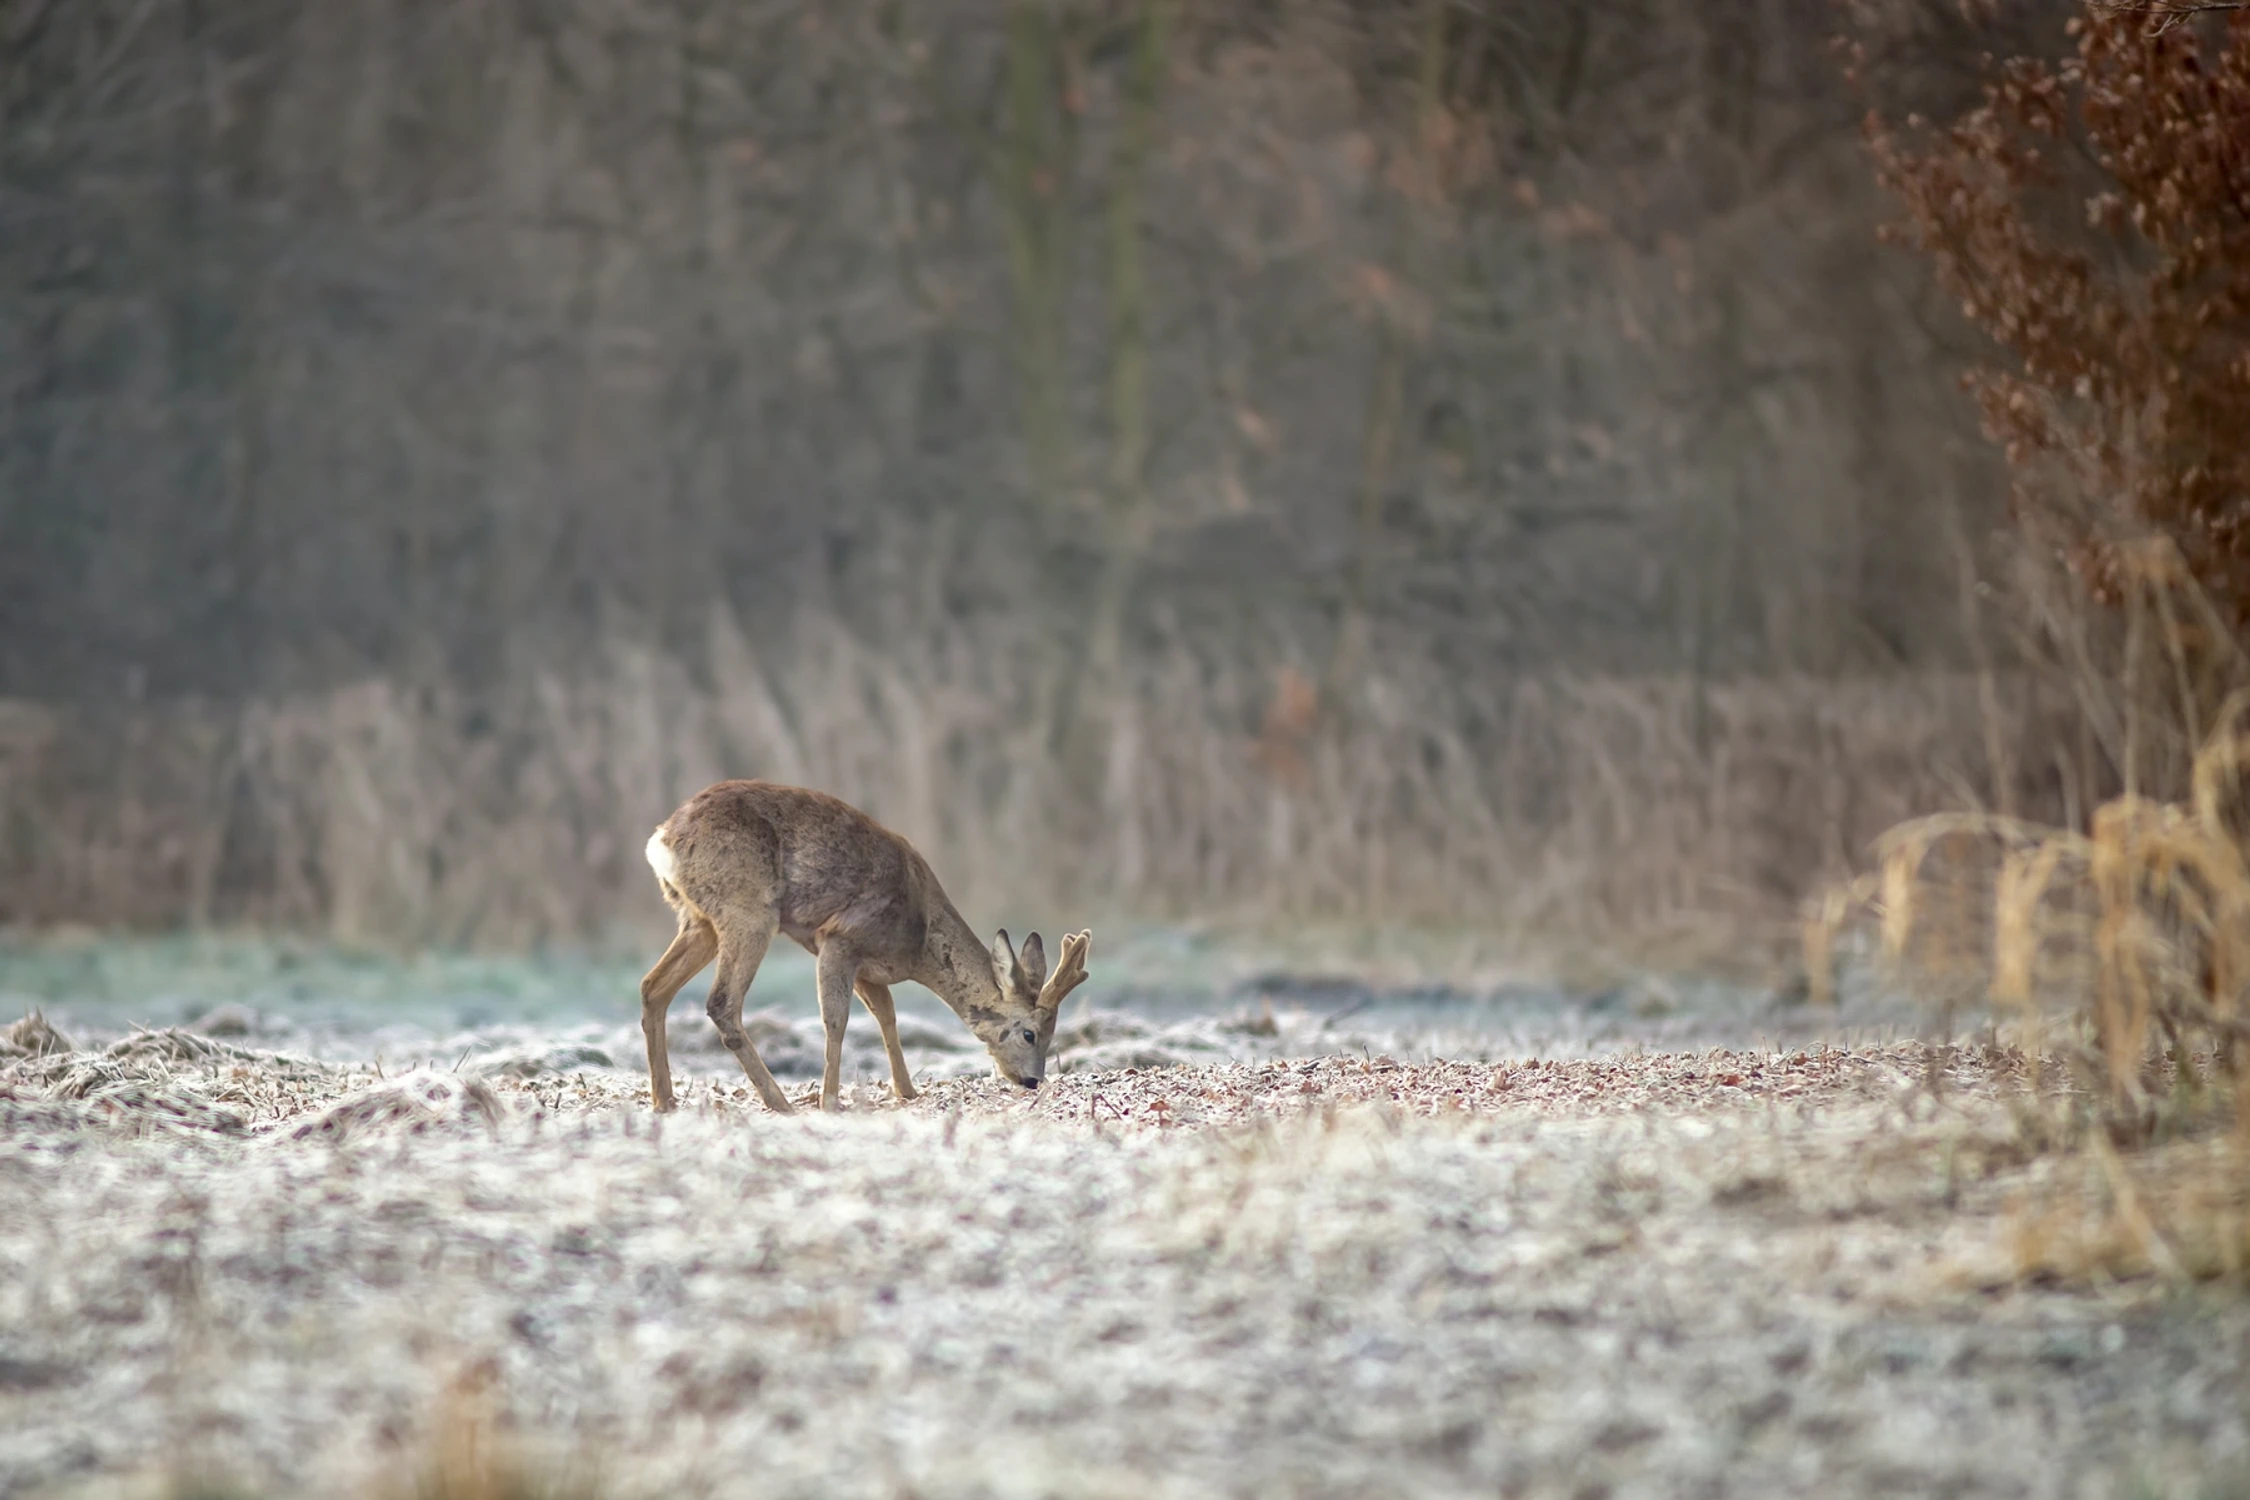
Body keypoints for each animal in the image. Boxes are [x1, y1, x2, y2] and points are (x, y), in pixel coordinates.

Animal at [639, 782, 1093, 1110]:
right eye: (1030, 1034)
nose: (1032, 1080)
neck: (919, 941)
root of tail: (661, 839)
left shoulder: (869, 968)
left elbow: (887, 1016)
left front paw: (906, 1091)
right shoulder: (840, 937)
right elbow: (836, 1021)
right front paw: (830, 1100)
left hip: (699, 921)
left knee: (653, 986)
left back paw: (665, 1099)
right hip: (748, 910)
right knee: (721, 1002)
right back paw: (780, 1101)